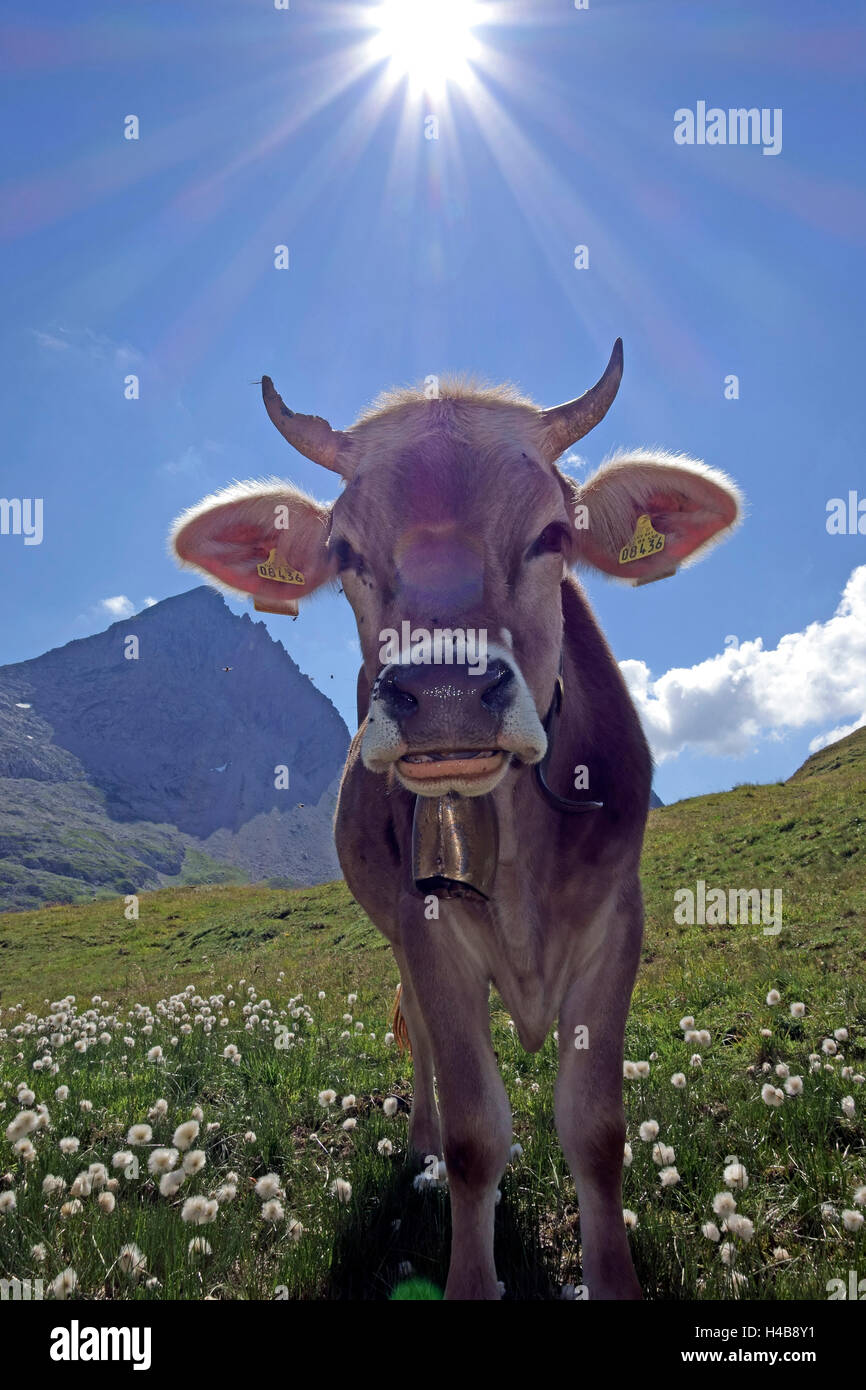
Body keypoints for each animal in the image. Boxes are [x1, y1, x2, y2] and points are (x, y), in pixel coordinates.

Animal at [173, 341, 739, 1295]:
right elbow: (479, 1135)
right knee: (428, 1053)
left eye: (554, 535)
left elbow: (597, 1131)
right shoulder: (431, 930)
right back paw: (421, 1144)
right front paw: (472, 1266)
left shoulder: (617, 925)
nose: (443, 693)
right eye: (347, 551)